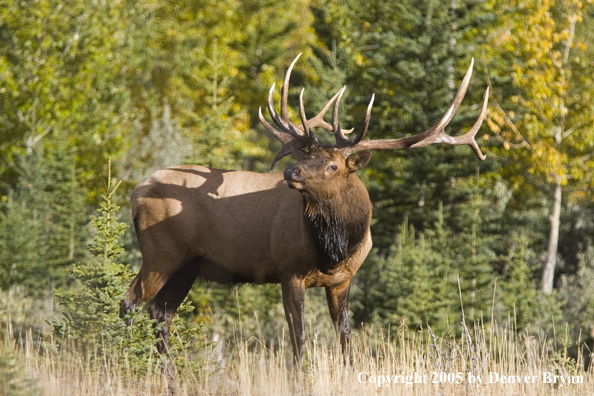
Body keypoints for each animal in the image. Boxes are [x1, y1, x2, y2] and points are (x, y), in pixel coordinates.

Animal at [119, 54, 486, 364]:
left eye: (333, 166)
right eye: (309, 156)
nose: (290, 172)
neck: (334, 248)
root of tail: (136, 192)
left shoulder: (343, 279)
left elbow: (344, 336)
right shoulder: (288, 269)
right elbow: (299, 337)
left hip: (189, 265)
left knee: (160, 313)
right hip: (161, 254)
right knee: (130, 304)